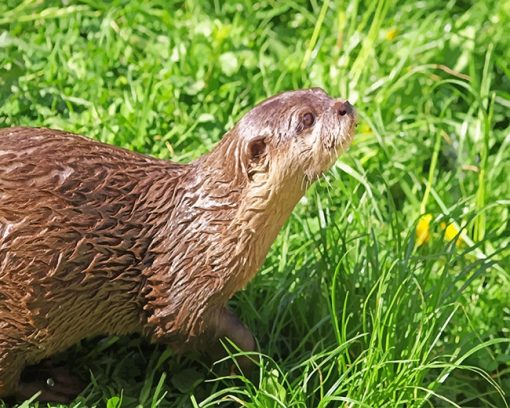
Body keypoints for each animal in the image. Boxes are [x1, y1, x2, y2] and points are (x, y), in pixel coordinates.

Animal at [0, 87, 356, 400]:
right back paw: (51, 385)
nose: (345, 105)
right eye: (307, 118)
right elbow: (196, 328)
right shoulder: (182, 288)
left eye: (321, 91)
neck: (209, 222)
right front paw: (252, 368)